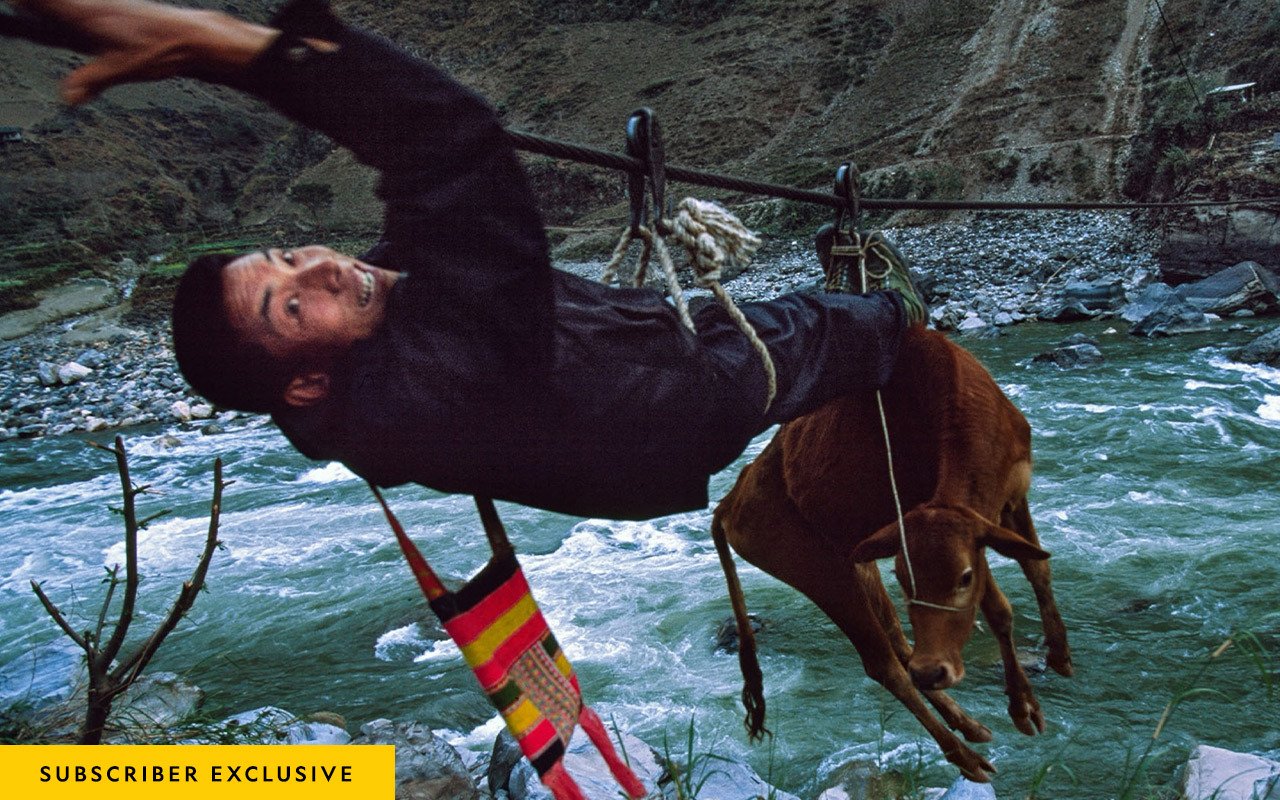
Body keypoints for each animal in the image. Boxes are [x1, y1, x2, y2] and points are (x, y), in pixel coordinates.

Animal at [716, 322, 1075, 778]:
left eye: (963, 576)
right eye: (904, 577)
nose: (933, 670)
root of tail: (731, 498)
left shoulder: (1010, 500)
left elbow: (1037, 569)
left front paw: (1060, 655)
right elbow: (999, 609)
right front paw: (1023, 706)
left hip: (857, 563)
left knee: (902, 648)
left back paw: (968, 723)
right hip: (819, 574)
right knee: (885, 666)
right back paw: (965, 756)